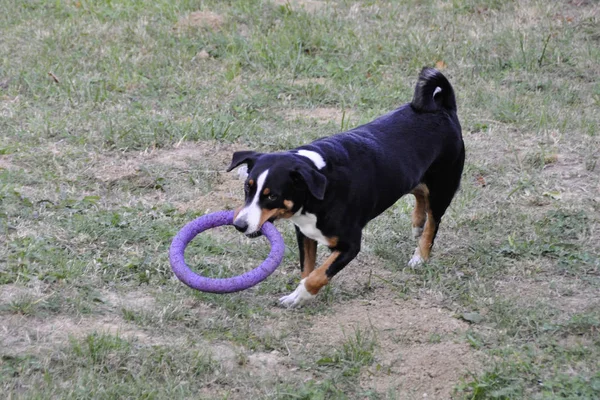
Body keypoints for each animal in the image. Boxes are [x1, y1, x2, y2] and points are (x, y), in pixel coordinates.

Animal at [225, 68, 464, 310]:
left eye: (272, 196)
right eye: (247, 188)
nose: (239, 225)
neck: (320, 185)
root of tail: (442, 109)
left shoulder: (350, 245)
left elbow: (317, 275)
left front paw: (299, 296)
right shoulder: (305, 234)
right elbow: (308, 268)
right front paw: (300, 296)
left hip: (443, 187)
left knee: (433, 222)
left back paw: (420, 255)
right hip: (411, 177)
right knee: (419, 192)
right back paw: (417, 223)